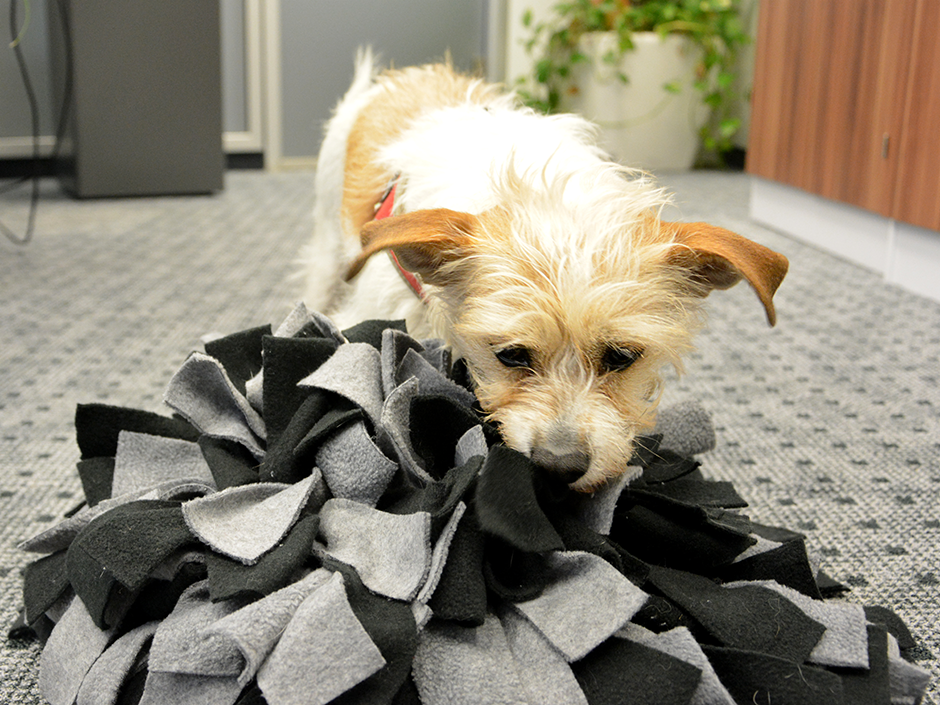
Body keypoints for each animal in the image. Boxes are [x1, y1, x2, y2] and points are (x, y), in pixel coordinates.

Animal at [302, 51, 784, 490]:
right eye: (511, 355)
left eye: (622, 357)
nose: (560, 466)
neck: (538, 189)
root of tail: (402, 77)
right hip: (327, 245)